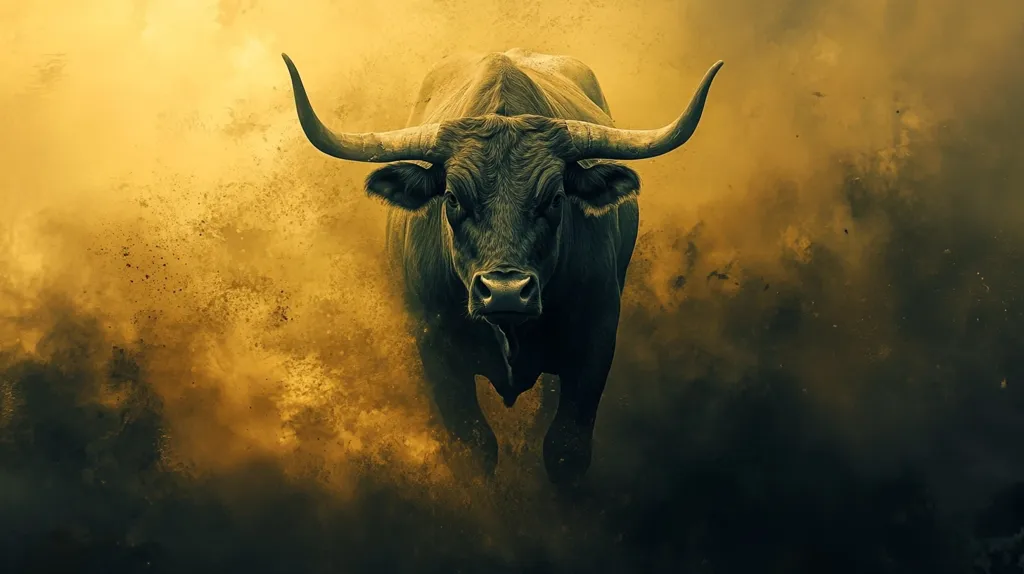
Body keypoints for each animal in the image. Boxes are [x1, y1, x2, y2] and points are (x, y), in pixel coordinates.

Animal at [281, 48, 723, 485]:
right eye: (453, 198)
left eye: (556, 199)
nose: (506, 292)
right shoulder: (437, 351)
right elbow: (475, 448)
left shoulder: (595, 342)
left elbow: (565, 449)